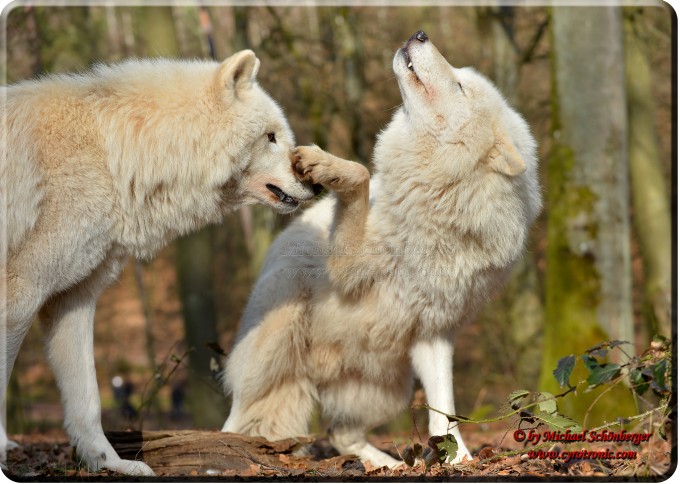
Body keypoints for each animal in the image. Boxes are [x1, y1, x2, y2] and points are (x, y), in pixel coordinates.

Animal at [1, 51, 314, 474]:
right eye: (271, 137)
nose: (315, 183)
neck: (113, 156)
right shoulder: (19, 295)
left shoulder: (72, 299)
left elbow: (88, 401)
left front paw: (109, 463)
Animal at [223, 31, 540, 468]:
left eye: (460, 86)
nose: (420, 34)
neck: (433, 206)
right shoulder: (344, 270)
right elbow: (361, 173)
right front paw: (326, 165)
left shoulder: (433, 331)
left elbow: (444, 407)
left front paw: (459, 458)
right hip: (280, 341)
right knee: (244, 420)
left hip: (387, 389)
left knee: (341, 434)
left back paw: (390, 464)